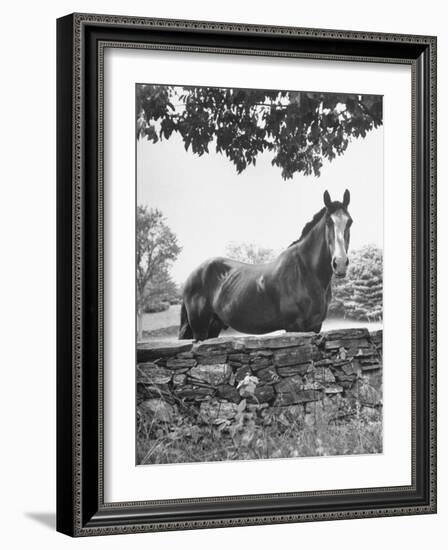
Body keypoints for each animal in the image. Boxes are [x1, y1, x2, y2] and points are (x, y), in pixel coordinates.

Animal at [179, 192, 354, 342]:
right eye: (328, 222)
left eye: (350, 222)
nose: (340, 263)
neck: (305, 272)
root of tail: (193, 275)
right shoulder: (294, 327)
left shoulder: (315, 326)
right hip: (200, 329)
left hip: (214, 327)